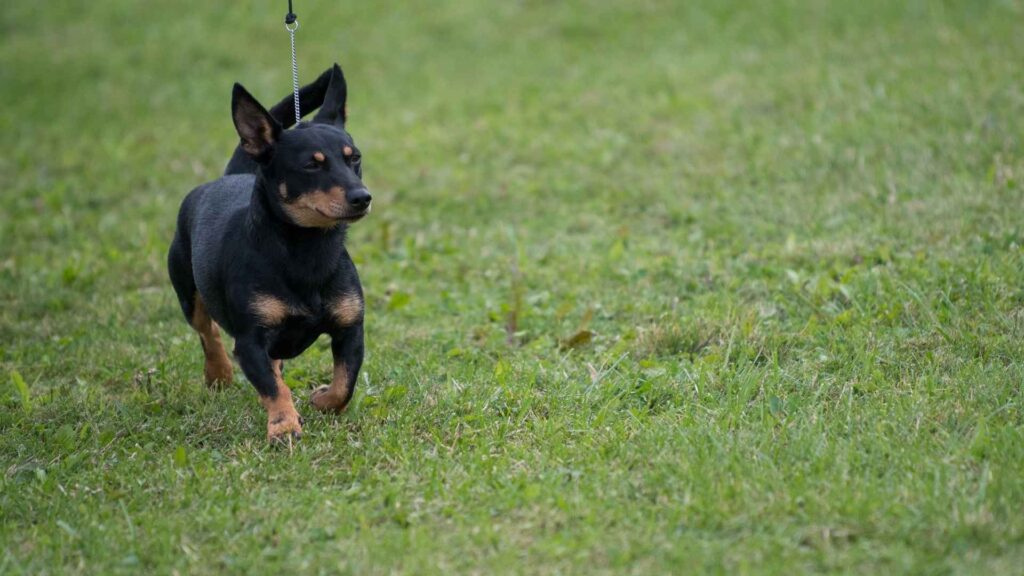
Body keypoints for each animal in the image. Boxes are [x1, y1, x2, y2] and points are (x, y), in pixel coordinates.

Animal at [167, 63, 372, 438]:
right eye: (311, 165)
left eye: (355, 159)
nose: (362, 197)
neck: (306, 251)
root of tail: (230, 176)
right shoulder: (250, 341)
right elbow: (272, 388)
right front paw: (283, 426)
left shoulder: (351, 329)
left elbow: (345, 384)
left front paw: (323, 401)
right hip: (187, 291)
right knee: (207, 332)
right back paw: (218, 373)